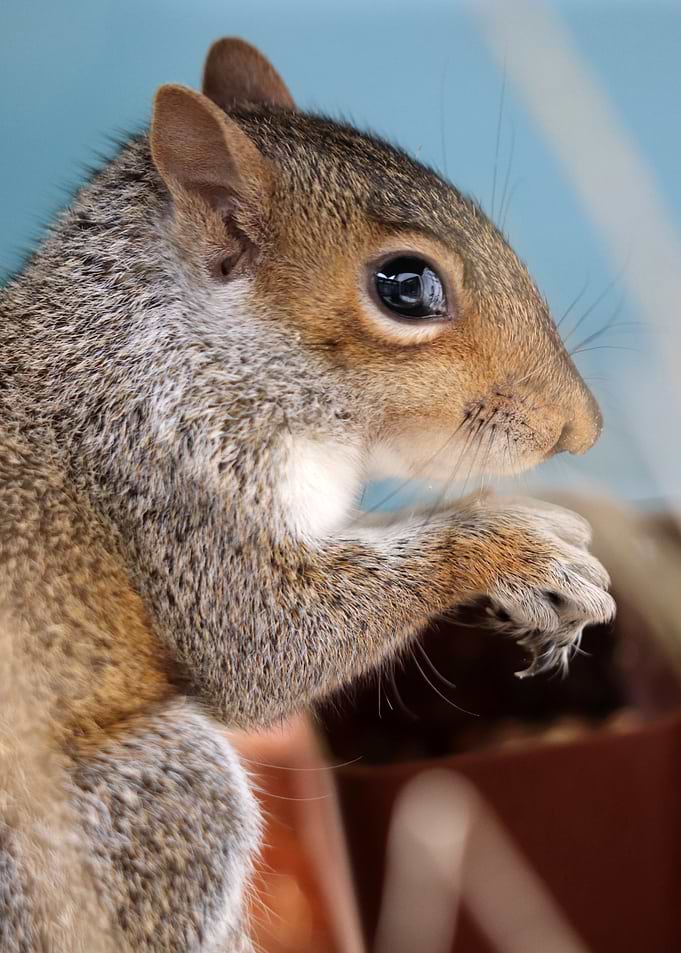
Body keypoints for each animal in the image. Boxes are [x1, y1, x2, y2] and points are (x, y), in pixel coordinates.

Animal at [0, 36, 615, 953]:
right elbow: (270, 646)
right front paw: (515, 542)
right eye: (405, 285)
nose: (581, 427)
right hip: (132, 819)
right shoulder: (172, 489)